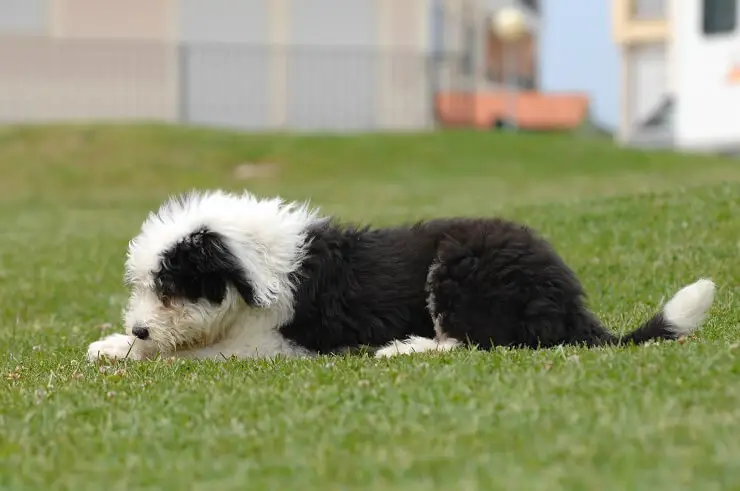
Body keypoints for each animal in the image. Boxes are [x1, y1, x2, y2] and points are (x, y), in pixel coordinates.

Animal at [86, 190, 716, 364]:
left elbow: (198, 353)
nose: (140, 328)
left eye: (173, 289)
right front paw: (113, 345)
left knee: (479, 341)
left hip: (462, 272)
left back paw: (403, 347)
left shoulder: (276, 343)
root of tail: (569, 303)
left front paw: (136, 352)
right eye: (144, 286)